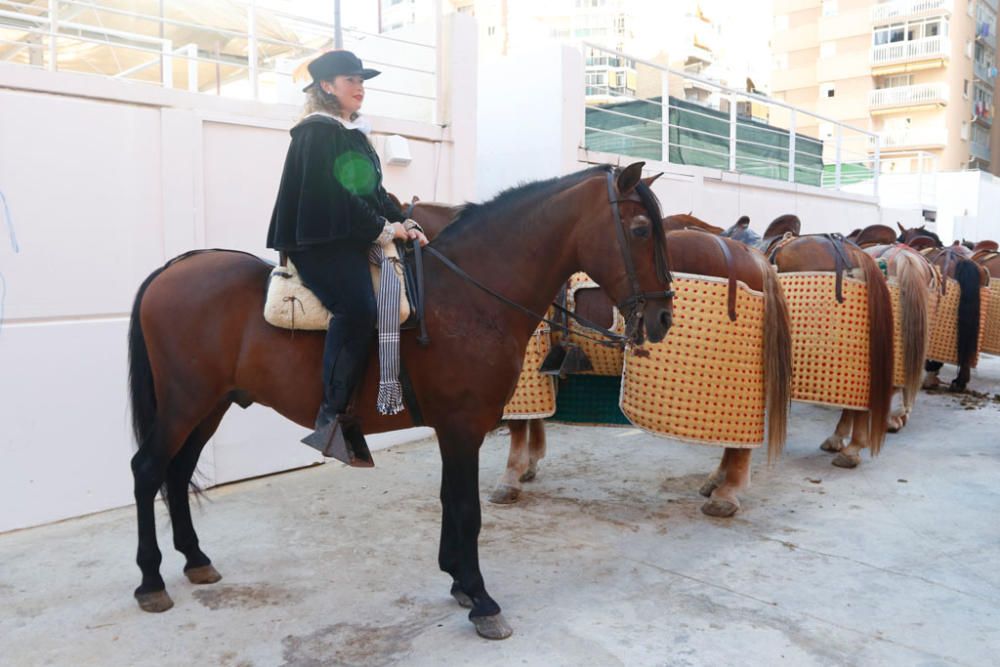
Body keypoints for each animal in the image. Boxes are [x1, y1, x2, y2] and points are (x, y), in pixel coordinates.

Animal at [125, 163, 672, 640]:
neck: (468, 295)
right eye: (640, 230)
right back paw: (150, 581)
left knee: (177, 472)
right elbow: (466, 507)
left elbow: (450, 500)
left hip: (208, 406)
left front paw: (458, 582)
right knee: (148, 469)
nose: (663, 318)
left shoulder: (455, 428)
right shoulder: (462, 425)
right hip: (184, 403)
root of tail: (172, 268)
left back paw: (196, 560)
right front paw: (481, 600)